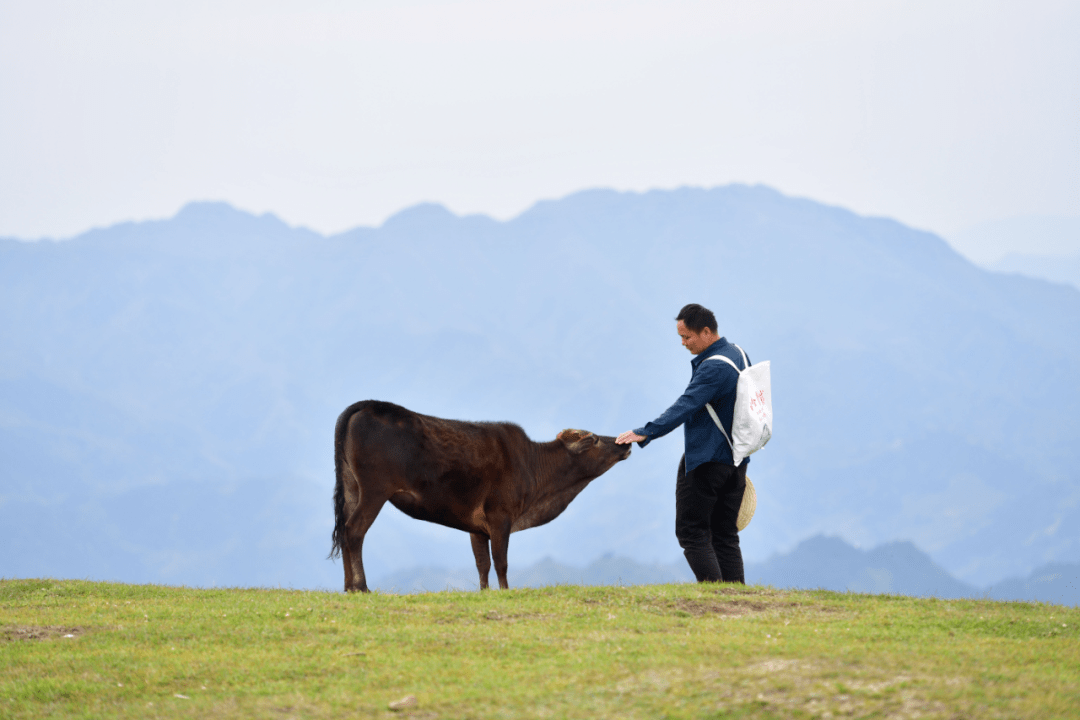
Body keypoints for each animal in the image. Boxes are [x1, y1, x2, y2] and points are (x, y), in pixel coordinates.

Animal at [328, 399, 630, 591]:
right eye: (595, 440)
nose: (623, 443)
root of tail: (366, 404)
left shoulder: (476, 527)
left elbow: (482, 563)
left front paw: (484, 592)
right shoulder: (500, 516)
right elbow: (501, 562)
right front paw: (506, 591)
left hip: (352, 488)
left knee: (343, 530)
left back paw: (347, 586)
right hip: (374, 490)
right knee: (354, 530)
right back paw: (361, 587)